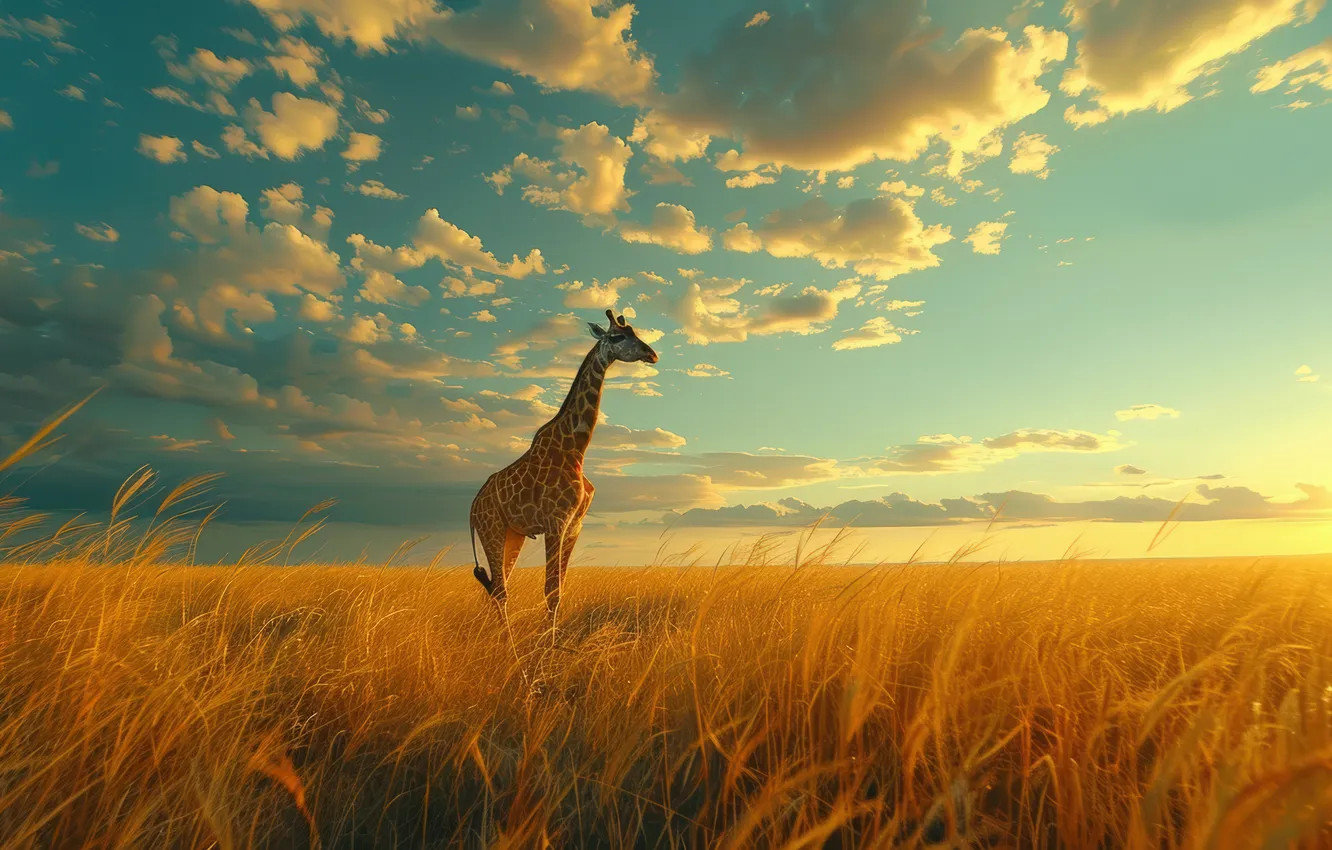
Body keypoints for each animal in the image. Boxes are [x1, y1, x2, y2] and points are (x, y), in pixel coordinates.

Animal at [469, 309, 659, 629]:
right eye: (617, 336)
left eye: (635, 331)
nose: (652, 353)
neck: (576, 447)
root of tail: (472, 505)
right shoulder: (555, 522)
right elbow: (550, 590)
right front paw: (550, 641)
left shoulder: (574, 526)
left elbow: (560, 588)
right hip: (491, 527)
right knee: (500, 589)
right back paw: (506, 641)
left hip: (512, 534)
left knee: (497, 586)